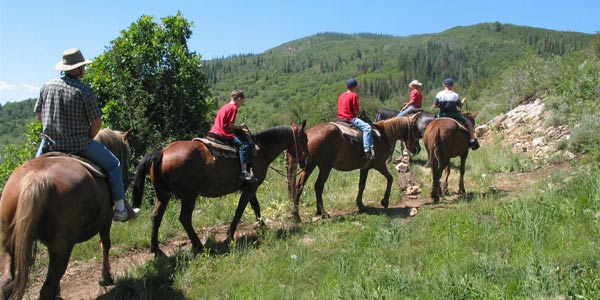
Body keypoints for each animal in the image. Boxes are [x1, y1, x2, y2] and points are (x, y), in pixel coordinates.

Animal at [0, 128, 132, 300]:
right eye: (127, 154)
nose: (127, 179)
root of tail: (36, 177)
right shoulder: (106, 219)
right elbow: (105, 244)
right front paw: (106, 277)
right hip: (63, 249)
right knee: (45, 290)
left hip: (8, 244)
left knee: (6, 283)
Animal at [133, 121, 308, 255]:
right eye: (304, 139)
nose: (305, 161)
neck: (260, 150)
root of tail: (162, 152)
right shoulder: (250, 188)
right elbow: (240, 210)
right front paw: (229, 236)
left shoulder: (251, 187)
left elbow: (255, 207)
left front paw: (263, 226)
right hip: (188, 195)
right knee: (184, 218)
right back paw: (199, 245)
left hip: (163, 195)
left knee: (156, 217)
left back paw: (155, 249)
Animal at [288, 116, 420, 221]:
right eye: (415, 129)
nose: (417, 149)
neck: (384, 135)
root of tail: (308, 133)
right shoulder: (379, 164)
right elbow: (390, 178)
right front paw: (385, 201)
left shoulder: (365, 168)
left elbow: (362, 185)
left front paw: (360, 205)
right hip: (325, 167)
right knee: (318, 186)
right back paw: (322, 212)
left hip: (310, 165)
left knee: (300, 185)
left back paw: (297, 214)